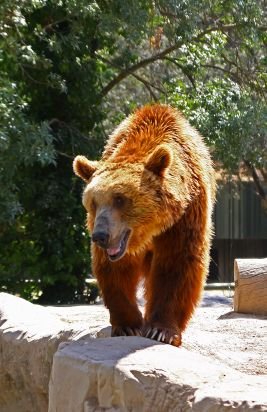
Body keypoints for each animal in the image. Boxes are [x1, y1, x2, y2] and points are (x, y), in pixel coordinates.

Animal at [74, 104, 217, 346]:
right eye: (93, 202)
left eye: (120, 198)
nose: (100, 236)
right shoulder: (117, 237)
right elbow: (115, 269)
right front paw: (128, 325)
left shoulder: (184, 218)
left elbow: (177, 264)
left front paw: (161, 330)